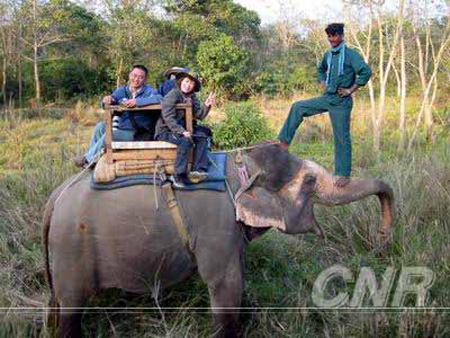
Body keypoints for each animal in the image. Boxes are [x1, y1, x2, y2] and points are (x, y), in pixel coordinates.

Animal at [42, 141, 394, 336]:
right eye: (309, 181)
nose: (382, 237)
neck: (242, 165)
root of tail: (54, 199)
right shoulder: (217, 226)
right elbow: (226, 284)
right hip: (72, 251)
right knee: (72, 311)